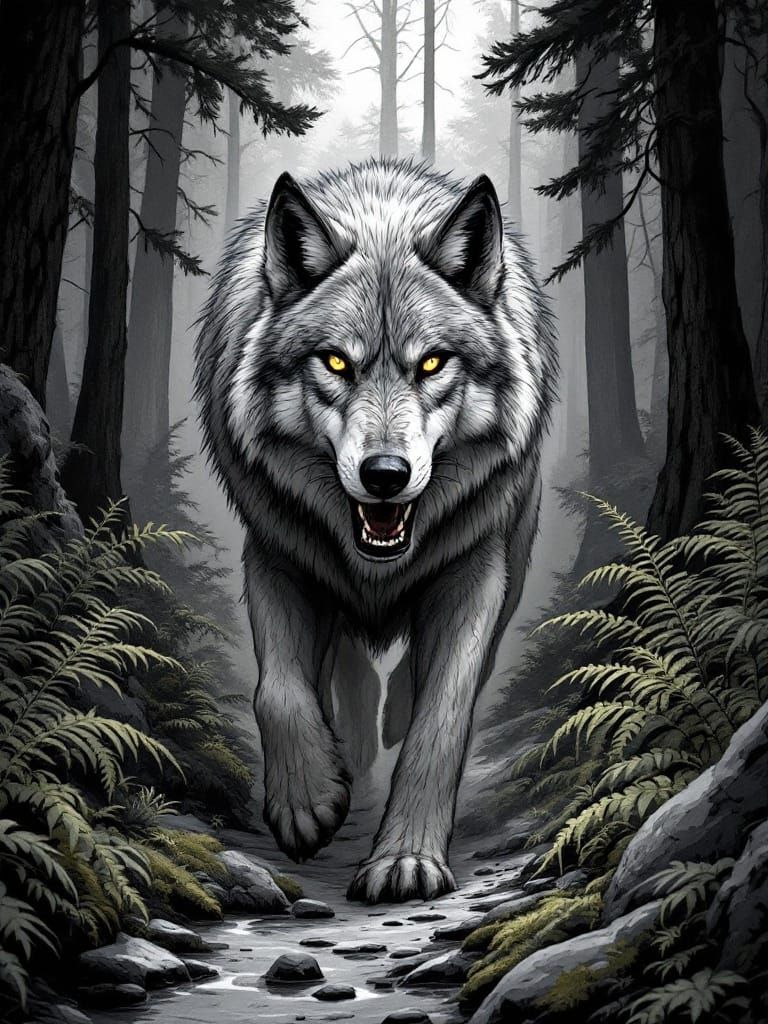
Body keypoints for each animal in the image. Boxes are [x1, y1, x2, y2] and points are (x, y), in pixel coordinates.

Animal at [194, 159, 557, 903]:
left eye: (432, 363)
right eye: (336, 363)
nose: (385, 474)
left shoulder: (476, 574)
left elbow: (441, 719)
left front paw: (407, 859)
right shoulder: (276, 554)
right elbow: (277, 689)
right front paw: (306, 797)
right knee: (348, 673)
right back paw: (353, 750)